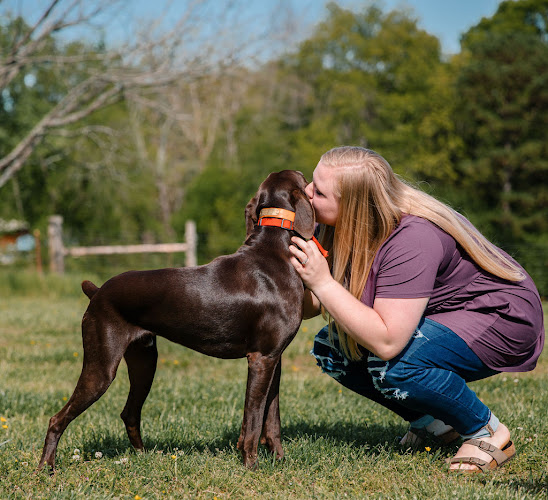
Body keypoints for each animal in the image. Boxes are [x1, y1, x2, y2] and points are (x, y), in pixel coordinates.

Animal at [37, 170, 316, 472]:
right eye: (303, 178)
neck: (273, 251)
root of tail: (98, 292)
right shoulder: (261, 358)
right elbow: (253, 421)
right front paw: (251, 467)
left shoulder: (273, 359)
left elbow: (272, 420)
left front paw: (279, 461)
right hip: (101, 368)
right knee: (58, 418)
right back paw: (45, 469)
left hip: (144, 361)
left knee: (129, 413)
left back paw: (143, 456)